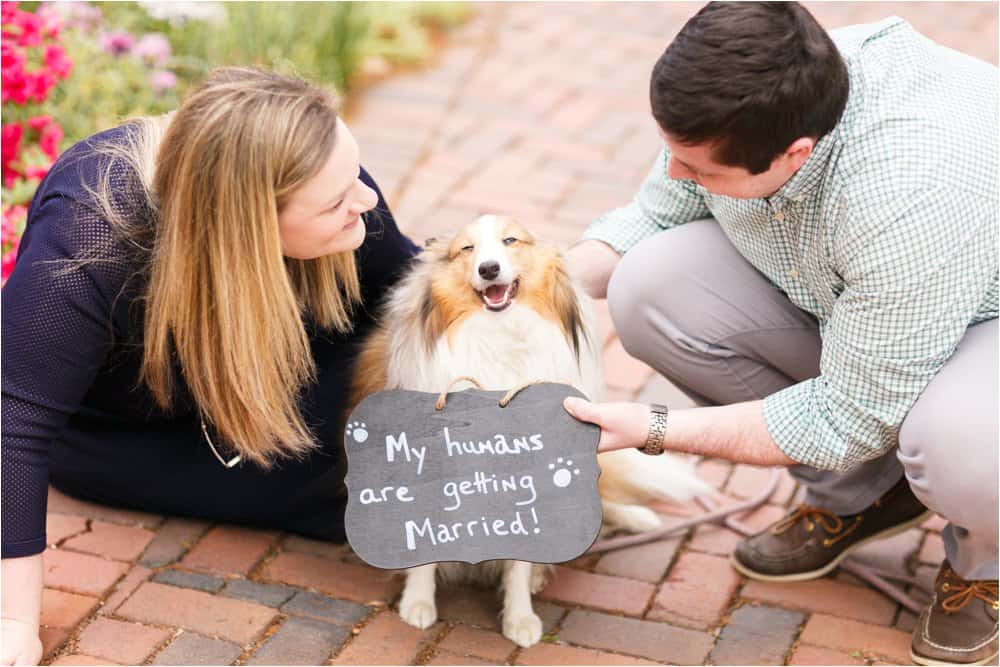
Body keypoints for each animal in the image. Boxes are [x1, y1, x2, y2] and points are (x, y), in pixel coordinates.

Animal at [352, 214, 712, 648]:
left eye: (510, 240)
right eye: (467, 249)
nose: (489, 269)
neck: (499, 336)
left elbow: (520, 561)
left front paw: (520, 617)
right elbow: (423, 550)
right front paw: (417, 603)